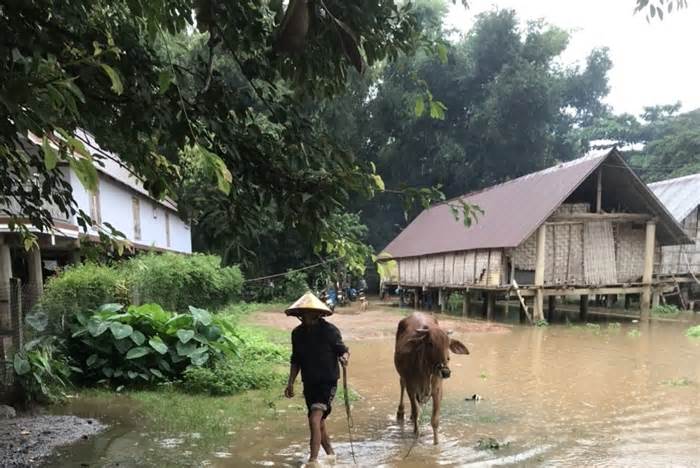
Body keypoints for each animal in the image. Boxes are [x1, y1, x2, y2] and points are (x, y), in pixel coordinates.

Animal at [394, 312, 470, 444]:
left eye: (448, 344)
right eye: (430, 343)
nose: (445, 372)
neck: (425, 370)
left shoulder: (438, 390)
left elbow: (434, 420)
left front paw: (436, 443)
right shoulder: (411, 388)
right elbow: (416, 412)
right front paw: (416, 435)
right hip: (403, 378)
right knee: (402, 384)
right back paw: (401, 412)